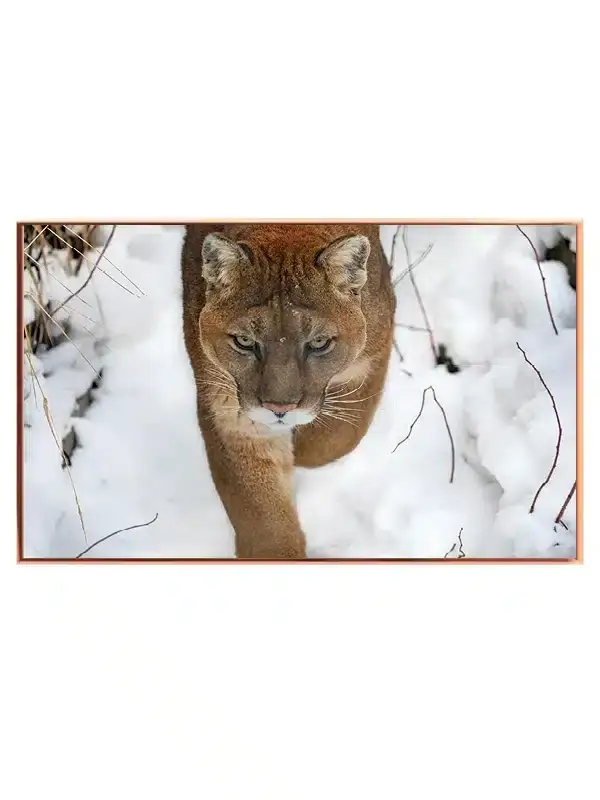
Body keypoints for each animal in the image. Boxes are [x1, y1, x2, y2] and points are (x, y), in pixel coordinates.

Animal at [181, 223, 396, 558]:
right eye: (244, 342)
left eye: (319, 343)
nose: (279, 409)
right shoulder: (232, 412)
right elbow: (263, 516)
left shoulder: (371, 357)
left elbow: (334, 439)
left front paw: (301, 450)